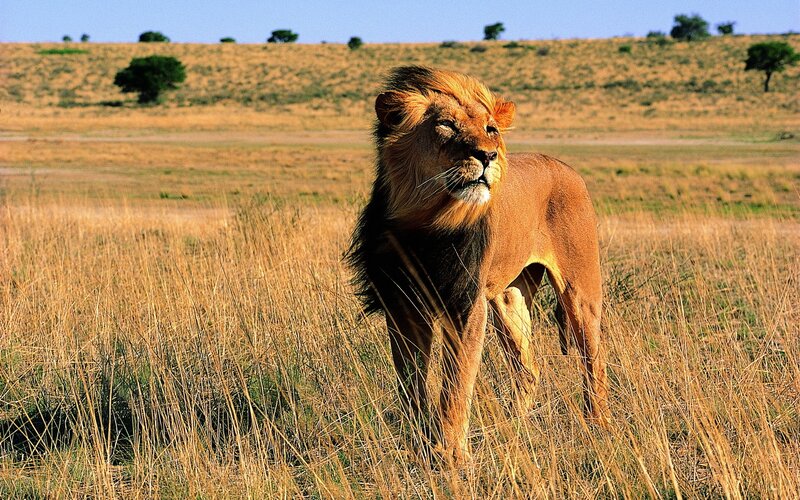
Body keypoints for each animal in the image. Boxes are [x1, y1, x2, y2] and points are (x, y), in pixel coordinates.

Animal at [347, 66, 609, 462]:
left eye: (491, 129)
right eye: (446, 126)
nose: (487, 156)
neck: (427, 221)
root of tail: (565, 166)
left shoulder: (466, 303)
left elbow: (456, 384)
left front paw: (452, 457)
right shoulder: (402, 304)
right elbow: (411, 381)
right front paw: (419, 445)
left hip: (579, 291)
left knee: (594, 358)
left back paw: (598, 425)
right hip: (509, 299)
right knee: (528, 370)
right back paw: (513, 428)